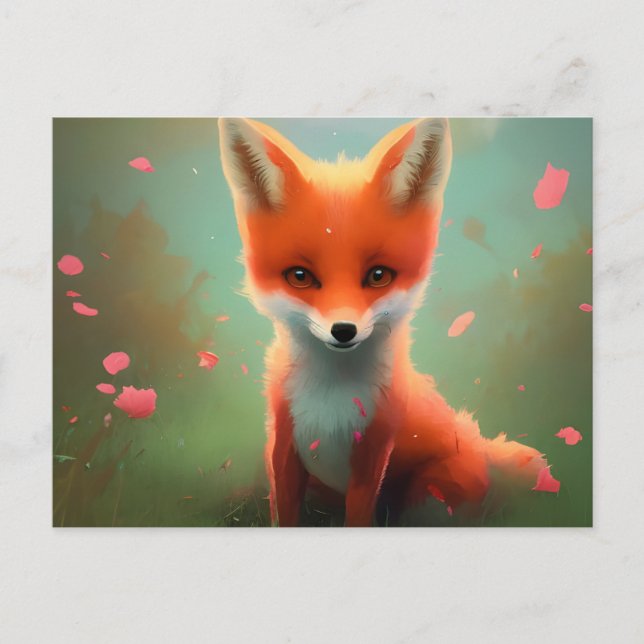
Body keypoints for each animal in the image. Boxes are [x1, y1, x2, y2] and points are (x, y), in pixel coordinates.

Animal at [218, 117, 547, 527]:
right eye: (300, 276)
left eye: (378, 276)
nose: (343, 331)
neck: (330, 399)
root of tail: (479, 447)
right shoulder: (283, 445)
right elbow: (285, 513)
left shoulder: (373, 453)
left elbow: (358, 517)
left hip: (433, 492)